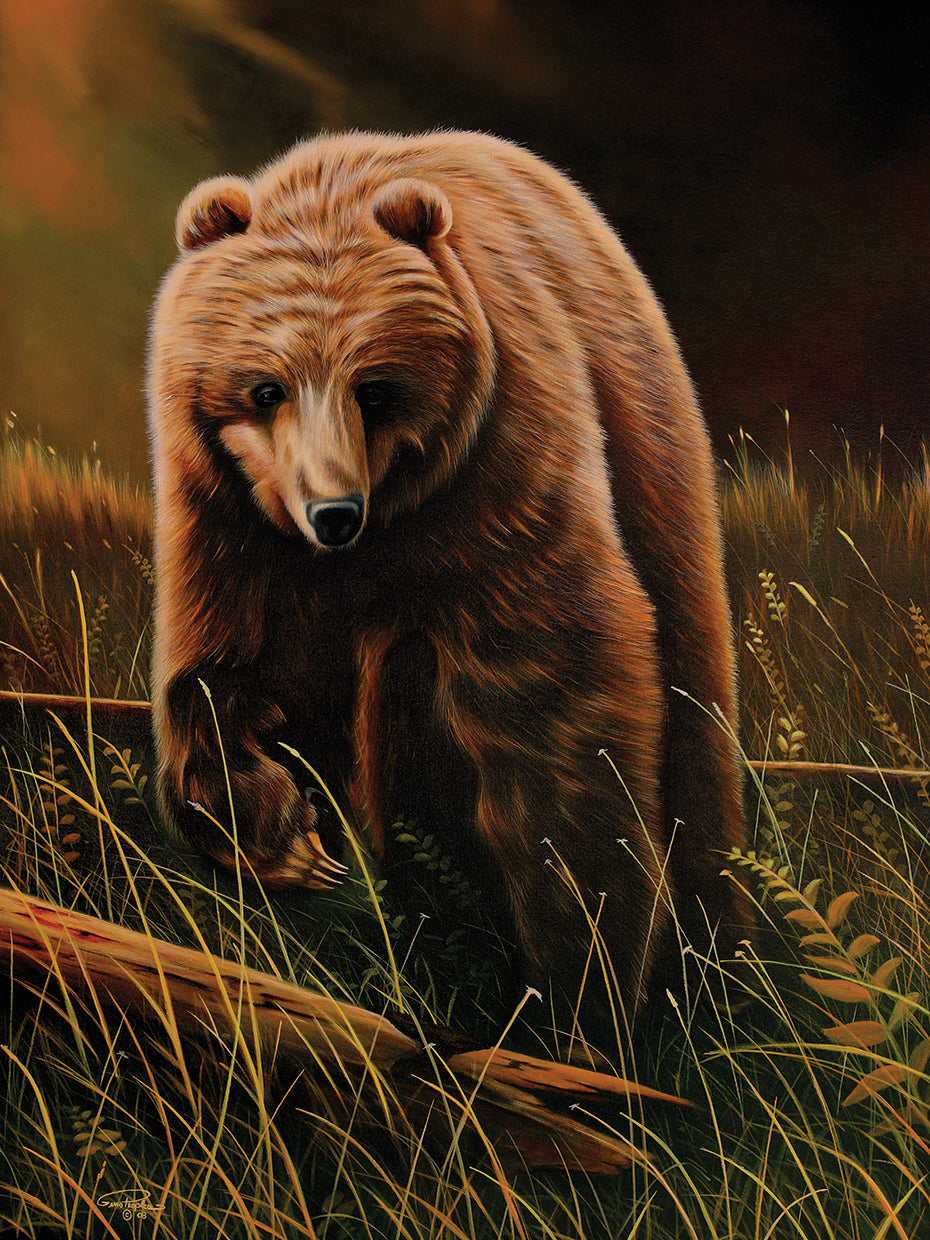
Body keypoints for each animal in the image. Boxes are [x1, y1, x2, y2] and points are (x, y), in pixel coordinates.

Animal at [147, 130, 749, 1050]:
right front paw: (285, 838)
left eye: (376, 386)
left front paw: (577, 993)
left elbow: (556, 717)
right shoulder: (225, 514)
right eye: (265, 386)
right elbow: (220, 668)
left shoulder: (501, 475)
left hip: (653, 465)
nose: (333, 511)